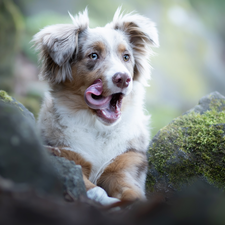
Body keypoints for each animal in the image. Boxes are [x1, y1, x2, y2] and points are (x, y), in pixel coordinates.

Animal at [33, 7, 158, 205]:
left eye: (126, 57)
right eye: (93, 55)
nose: (123, 78)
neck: (98, 129)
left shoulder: (123, 164)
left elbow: (132, 192)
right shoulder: (69, 157)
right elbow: (94, 189)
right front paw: (107, 201)